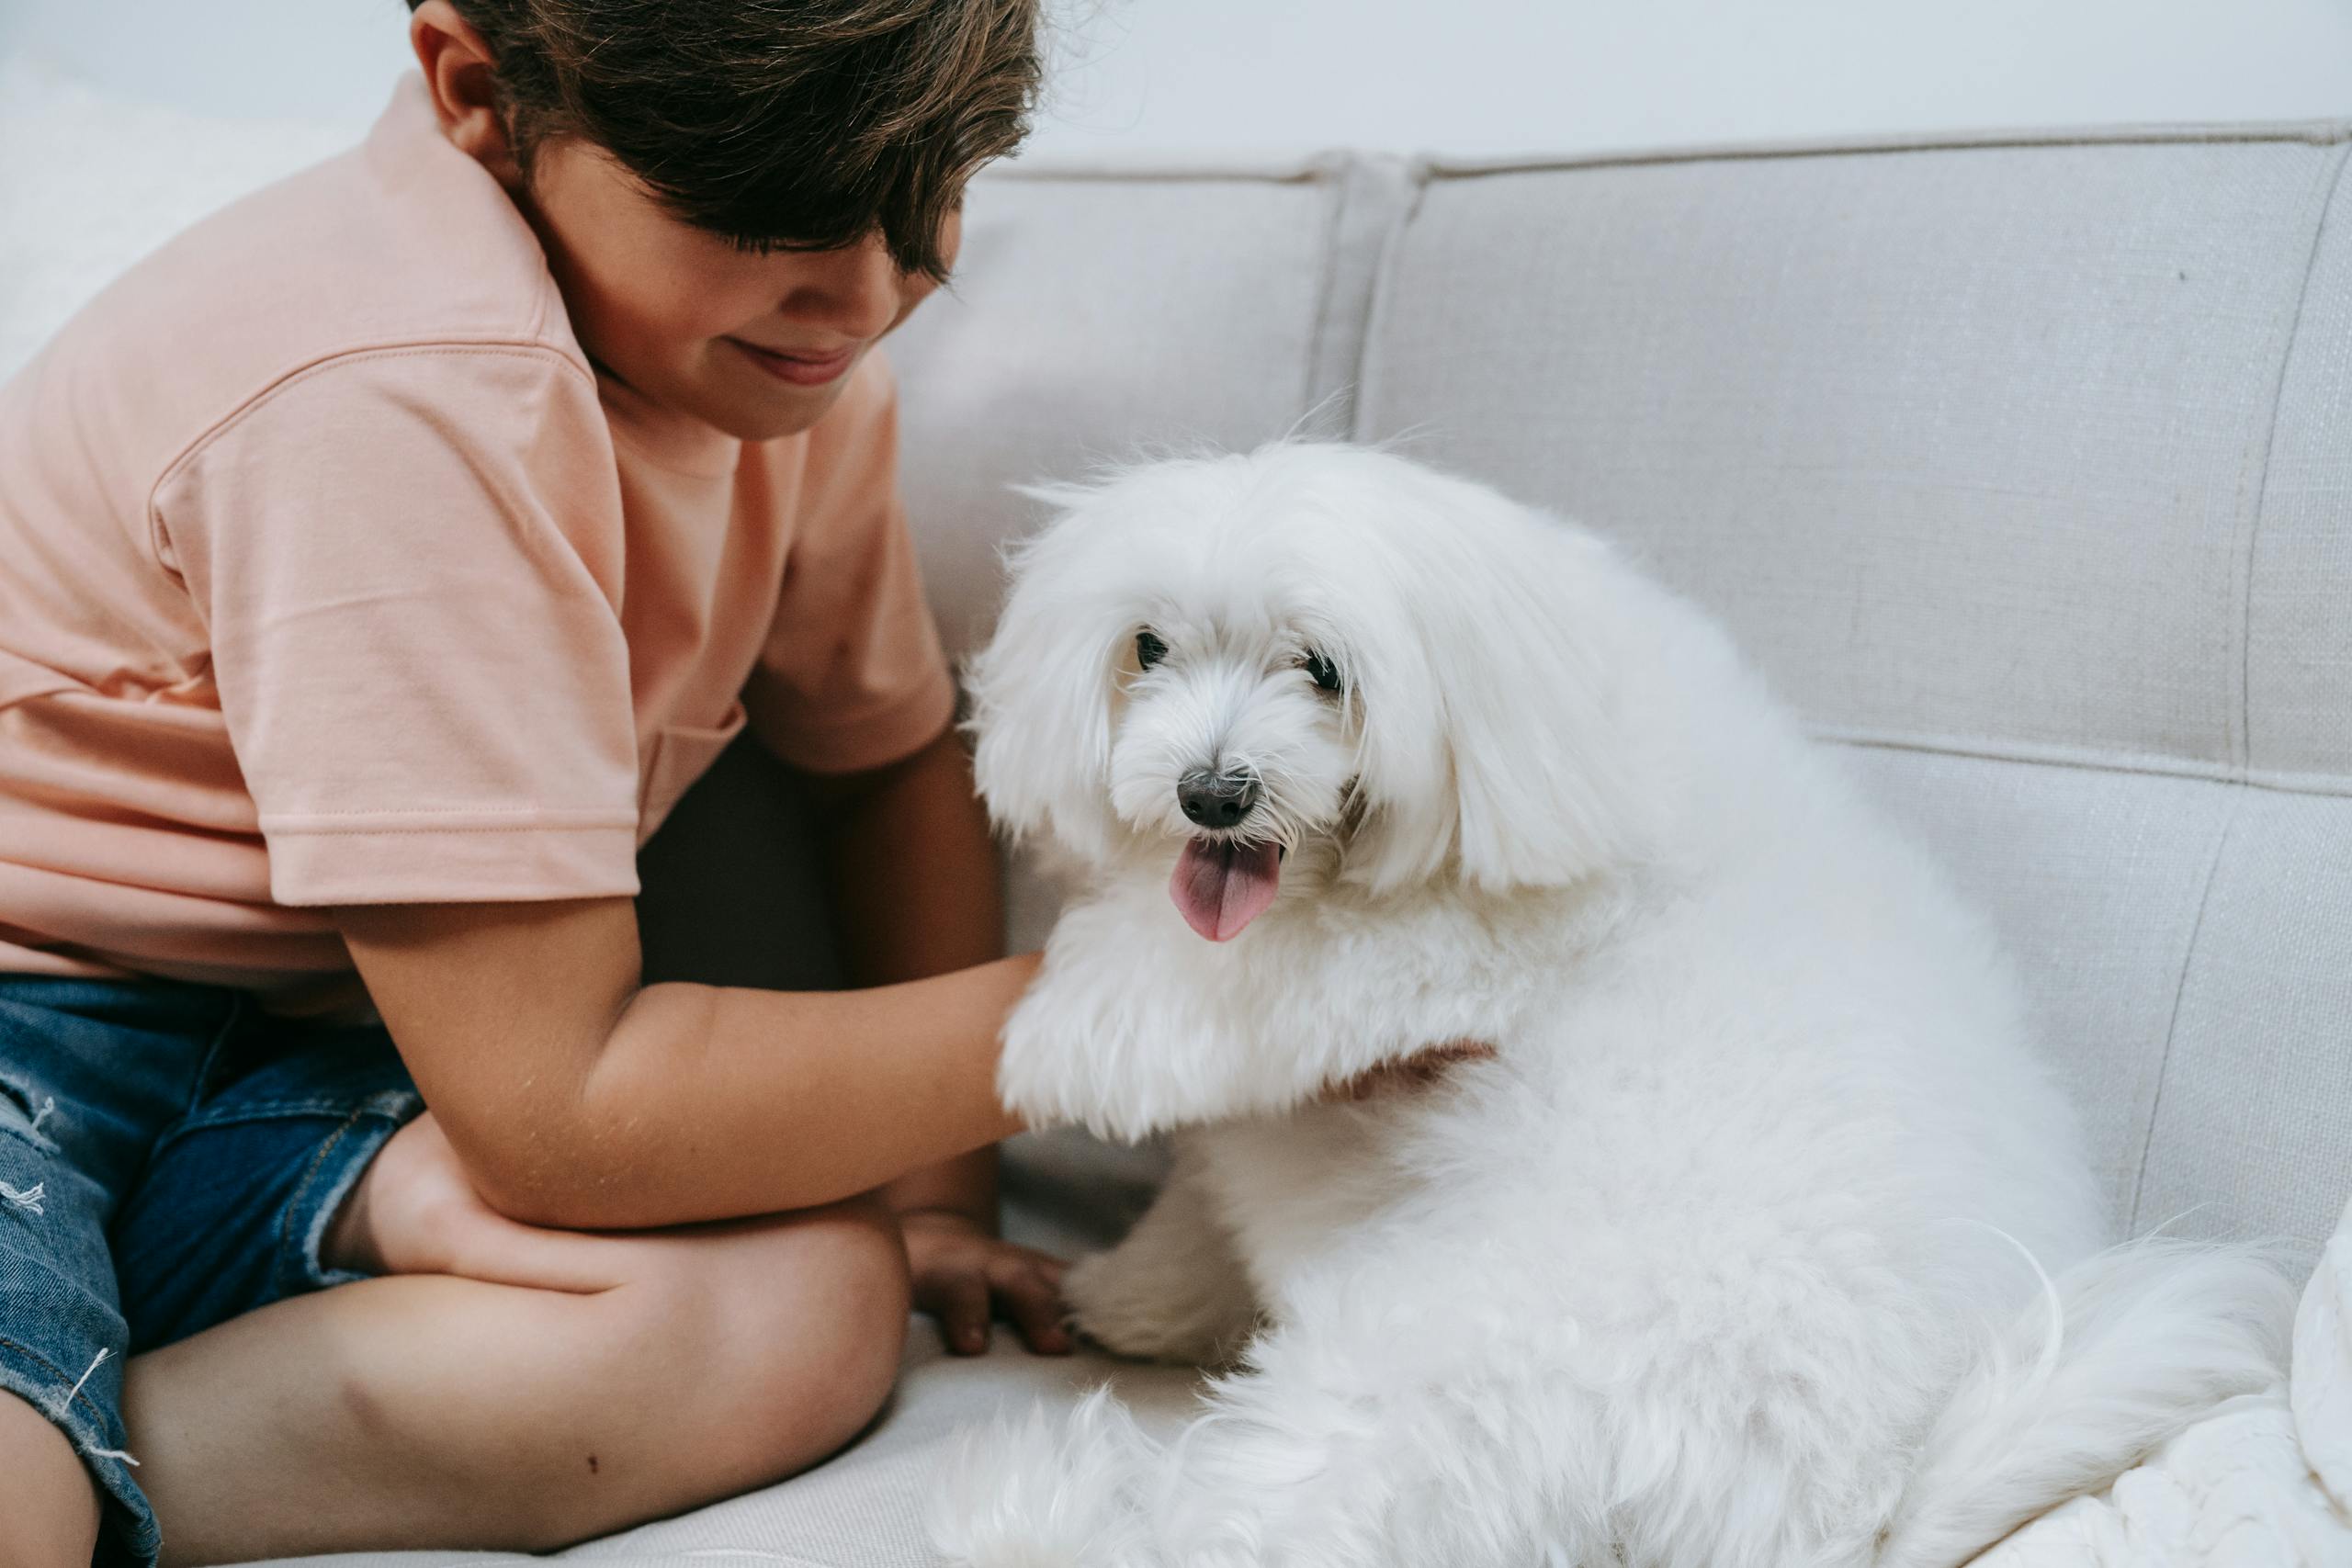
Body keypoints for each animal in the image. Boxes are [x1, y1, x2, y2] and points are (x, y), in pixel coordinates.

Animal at [935, 444, 2295, 1568]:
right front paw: (1138, 1289)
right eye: (1146, 648)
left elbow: (1230, 981)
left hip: (1432, 1379)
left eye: (1322, 670)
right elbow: (1209, 1200)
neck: (1538, 724)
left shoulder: (1446, 952)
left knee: (1256, 1526)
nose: (1211, 793)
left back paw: (1023, 1515)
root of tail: (1866, 1497)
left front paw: (1065, 1028)